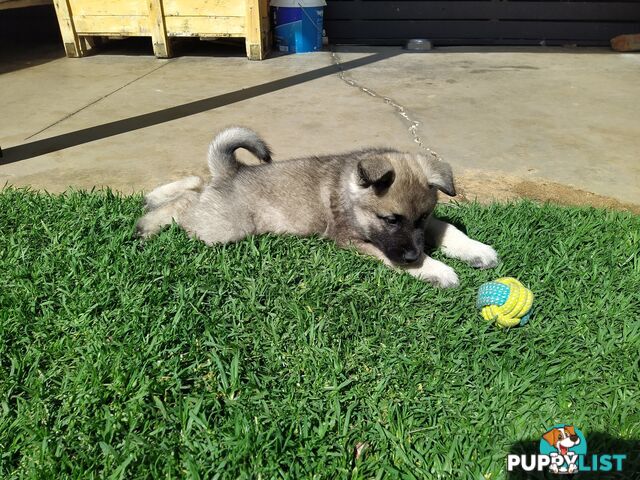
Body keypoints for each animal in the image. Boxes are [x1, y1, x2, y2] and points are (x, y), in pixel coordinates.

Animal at [136, 125, 500, 286]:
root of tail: (232, 171)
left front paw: (477, 250)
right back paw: (148, 223)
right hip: (224, 229)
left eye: (421, 217)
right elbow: (396, 257)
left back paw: (153, 198)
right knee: (186, 206)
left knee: (195, 185)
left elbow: (449, 229)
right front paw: (437, 269)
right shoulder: (354, 241)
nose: (412, 255)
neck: (351, 194)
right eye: (390, 219)